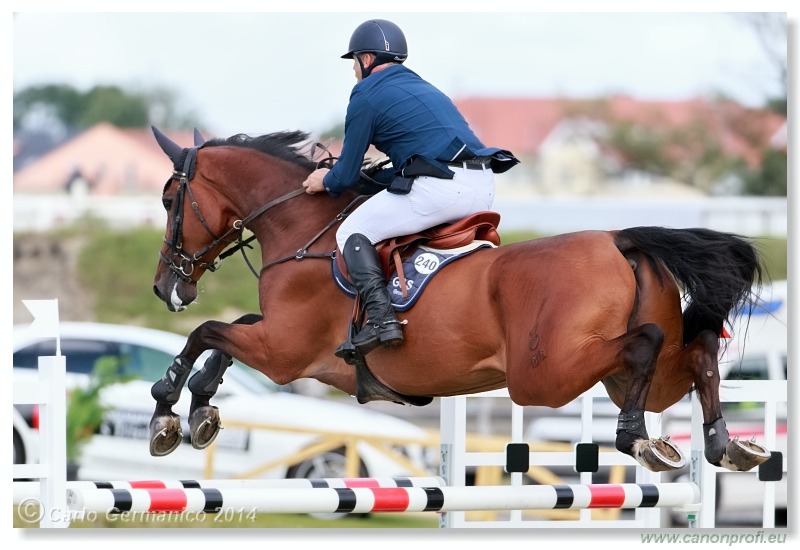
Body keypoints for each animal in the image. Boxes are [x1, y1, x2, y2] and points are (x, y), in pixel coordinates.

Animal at [147, 128, 772, 478]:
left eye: (170, 198)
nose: (163, 288)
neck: (304, 232)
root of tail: (620, 240)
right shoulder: (279, 340)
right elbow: (221, 337)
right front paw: (201, 410)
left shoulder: (283, 353)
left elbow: (206, 331)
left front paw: (168, 412)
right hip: (626, 378)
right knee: (693, 356)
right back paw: (724, 445)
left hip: (543, 376)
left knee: (647, 344)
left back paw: (637, 437)